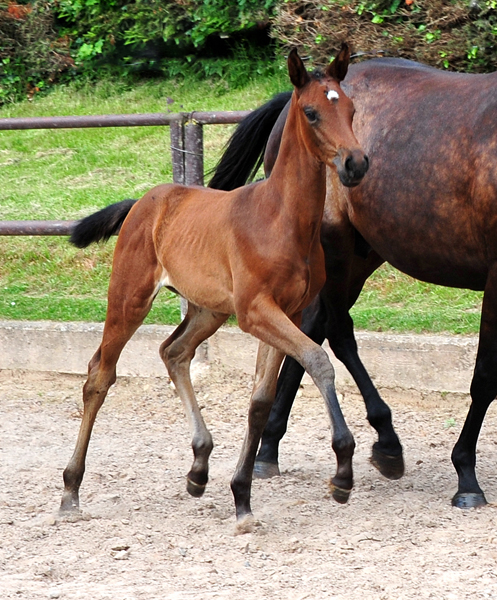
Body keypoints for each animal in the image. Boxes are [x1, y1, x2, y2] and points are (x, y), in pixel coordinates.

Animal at [62, 47, 368, 524]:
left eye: (352, 109)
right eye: (312, 112)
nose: (356, 163)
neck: (281, 219)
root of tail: (145, 202)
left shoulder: (288, 311)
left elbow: (261, 399)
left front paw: (241, 495)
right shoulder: (256, 312)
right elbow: (319, 361)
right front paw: (342, 473)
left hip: (209, 309)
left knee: (173, 352)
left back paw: (199, 467)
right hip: (130, 297)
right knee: (100, 374)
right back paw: (71, 490)